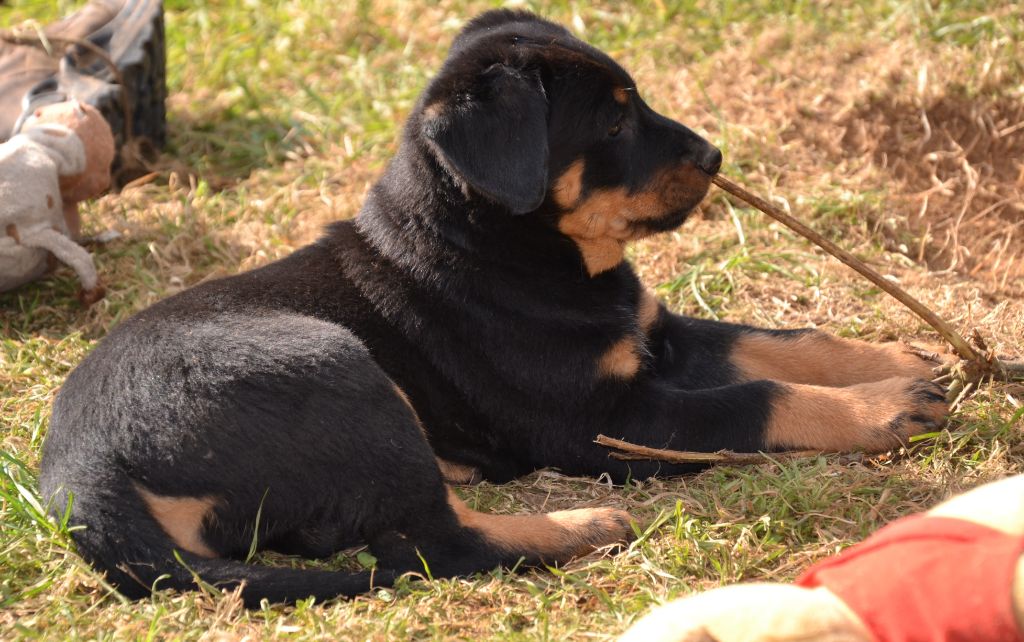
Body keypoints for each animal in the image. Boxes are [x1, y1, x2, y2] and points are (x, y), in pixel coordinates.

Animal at [40, 9, 947, 606]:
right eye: (612, 121)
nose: (715, 155)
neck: (518, 254)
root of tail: (84, 477)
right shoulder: (602, 420)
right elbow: (756, 397)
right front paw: (883, 406)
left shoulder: (654, 332)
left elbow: (783, 339)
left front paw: (899, 359)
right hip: (339, 370)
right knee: (432, 543)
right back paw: (582, 525)